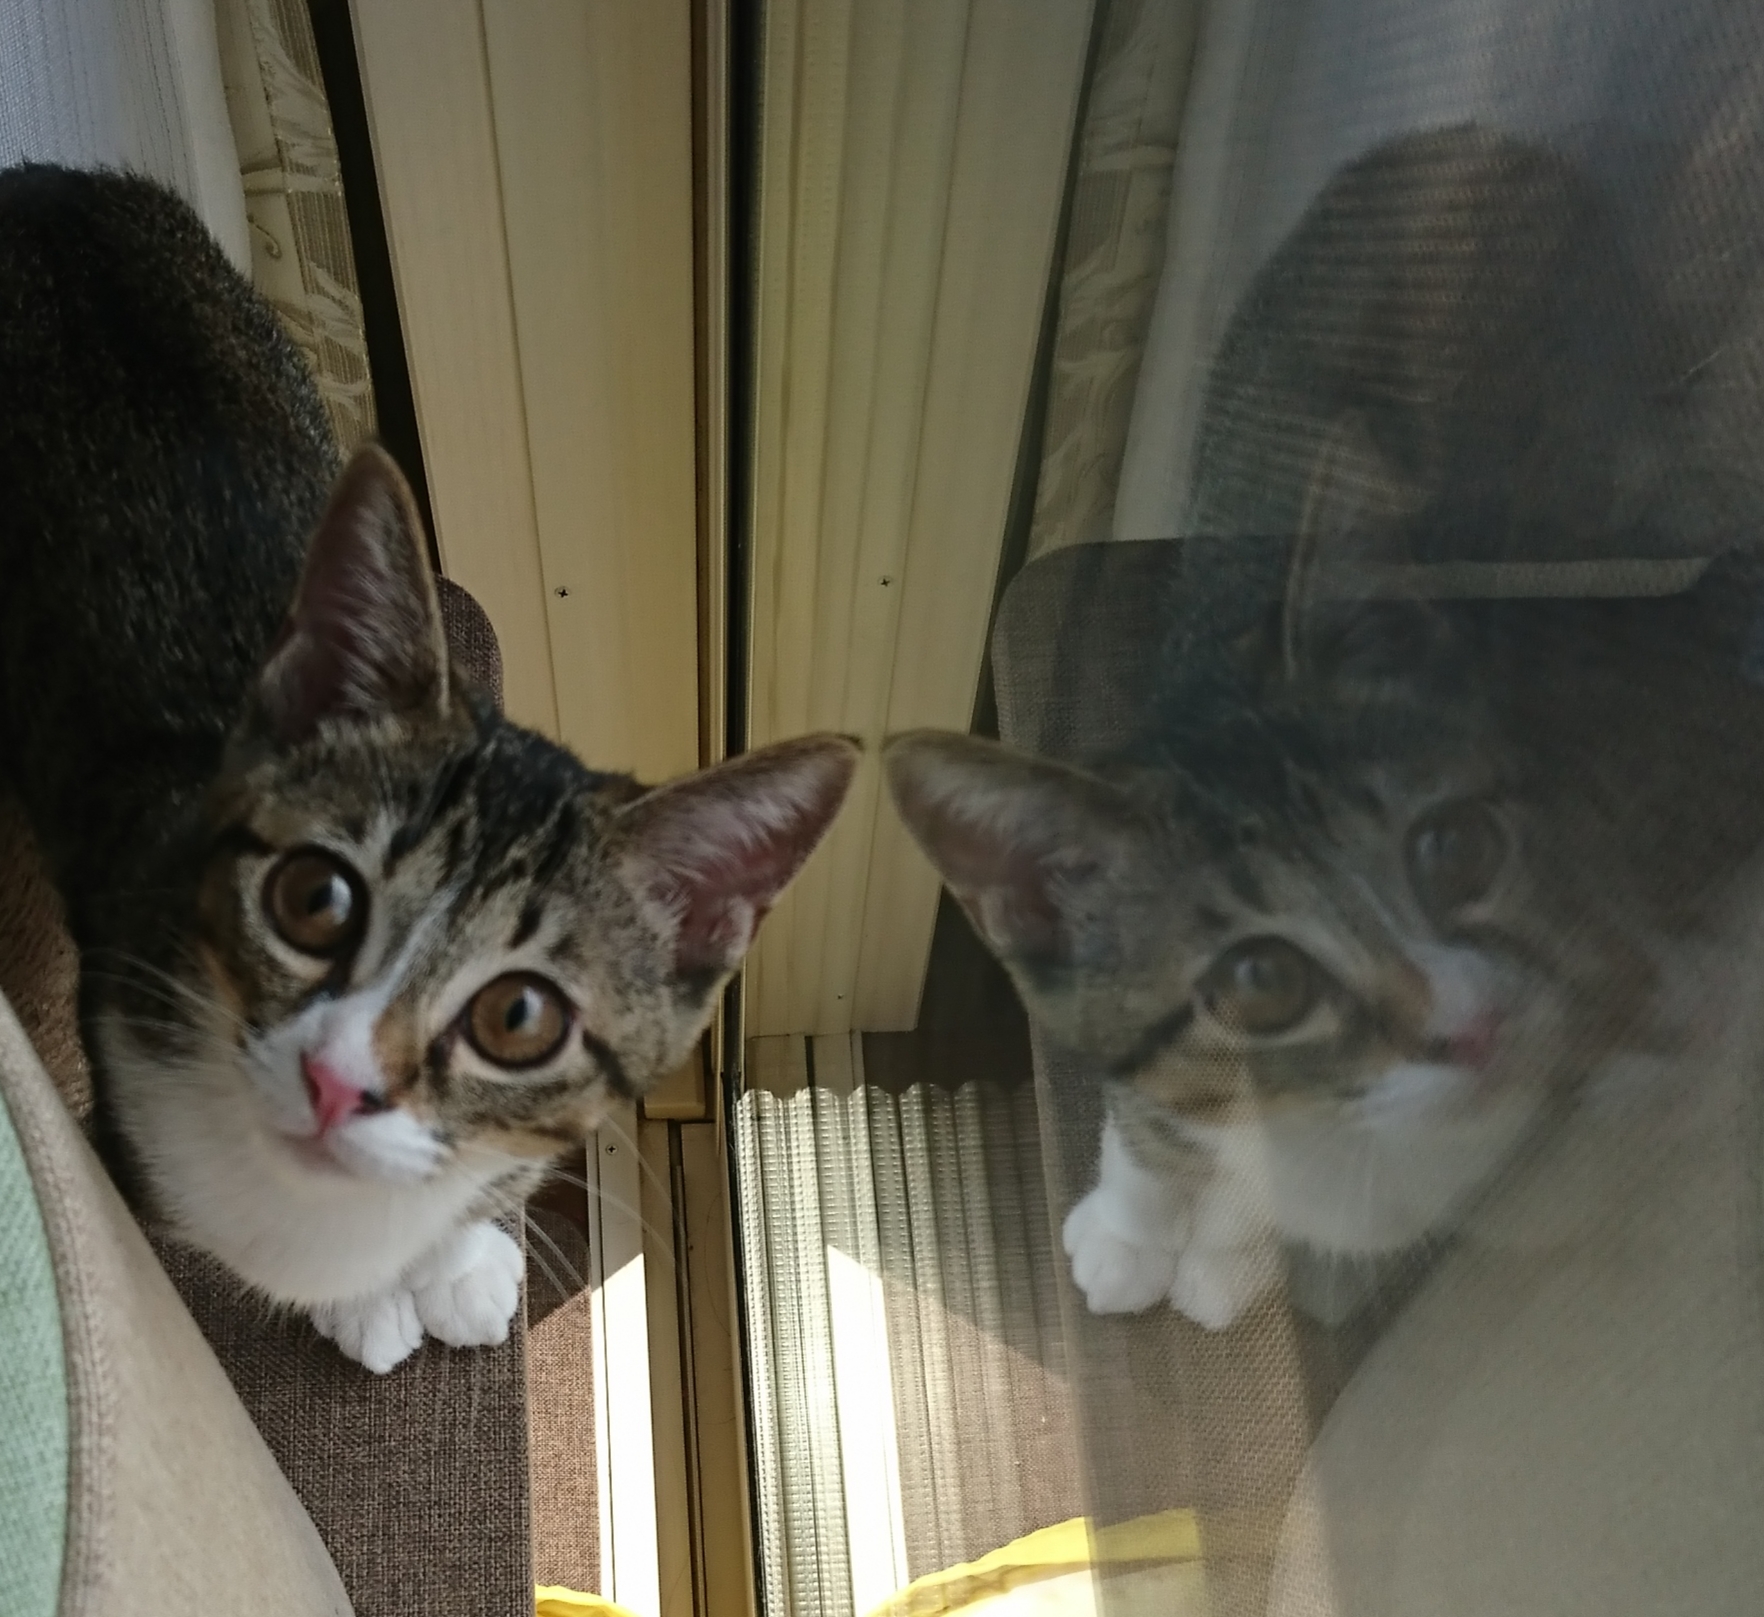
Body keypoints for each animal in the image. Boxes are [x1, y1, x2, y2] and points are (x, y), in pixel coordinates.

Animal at [0, 164, 856, 1372]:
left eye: (518, 1017)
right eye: (314, 900)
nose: (335, 1083)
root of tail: (46, 185)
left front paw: (453, 1259)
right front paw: (363, 1299)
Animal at [883, 126, 1764, 1330]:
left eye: (1456, 849)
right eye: (1263, 982)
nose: (1473, 1027)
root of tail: (1476, 139)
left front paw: (1223, 1256)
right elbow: (1152, 1112)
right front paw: (1132, 1223)